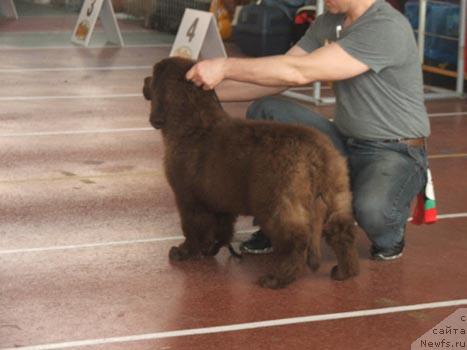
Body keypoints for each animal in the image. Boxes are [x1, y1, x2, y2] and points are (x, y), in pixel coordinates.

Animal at [144, 56, 360, 288]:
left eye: (153, 75)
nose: (144, 80)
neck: (192, 125)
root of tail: (316, 154)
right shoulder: (220, 201)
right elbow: (221, 230)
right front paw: (211, 249)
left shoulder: (188, 199)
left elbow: (192, 229)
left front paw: (184, 252)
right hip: (337, 194)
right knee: (342, 232)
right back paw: (345, 272)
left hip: (278, 205)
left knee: (297, 241)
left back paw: (277, 278)